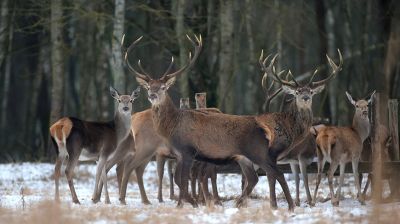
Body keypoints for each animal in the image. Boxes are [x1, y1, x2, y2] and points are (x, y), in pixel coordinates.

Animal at [126, 33, 344, 210]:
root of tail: (263, 127)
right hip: (246, 158)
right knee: (257, 178)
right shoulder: (179, 154)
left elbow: (183, 180)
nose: (152, 95)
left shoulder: (187, 151)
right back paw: (245, 203)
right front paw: (188, 204)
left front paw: (190, 204)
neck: (172, 126)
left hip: (258, 153)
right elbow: (181, 180)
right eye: (149, 87)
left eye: (163, 87)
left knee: (275, 174)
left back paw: (288, 206)